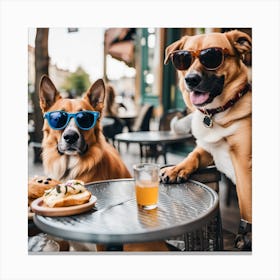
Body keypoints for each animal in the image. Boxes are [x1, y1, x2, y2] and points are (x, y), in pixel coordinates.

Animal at [161, 30, 253, 249]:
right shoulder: (209, 147)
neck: (218, 112)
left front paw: (246, 236)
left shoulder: (244, 164)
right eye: (182, 59)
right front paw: (176, 169)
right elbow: (192, 156)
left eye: (212, 57)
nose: (191, 80)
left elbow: (247, 205)